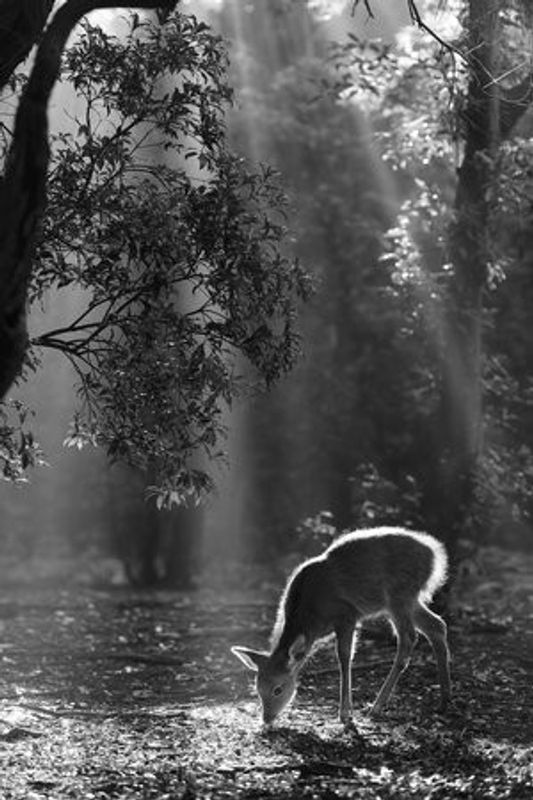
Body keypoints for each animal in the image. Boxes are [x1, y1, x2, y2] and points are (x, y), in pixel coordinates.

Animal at [232, 526, 451, 726]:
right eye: (257, 688)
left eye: (278, 689)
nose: (267, 718)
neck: (311, 619)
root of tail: (436, 554)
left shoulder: (347, 614)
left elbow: (344, 657)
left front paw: (345, 713)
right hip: (405, 600)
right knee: (437, 625)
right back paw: (444, 701)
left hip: (400, 595)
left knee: (409, 638)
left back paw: (377, 706)